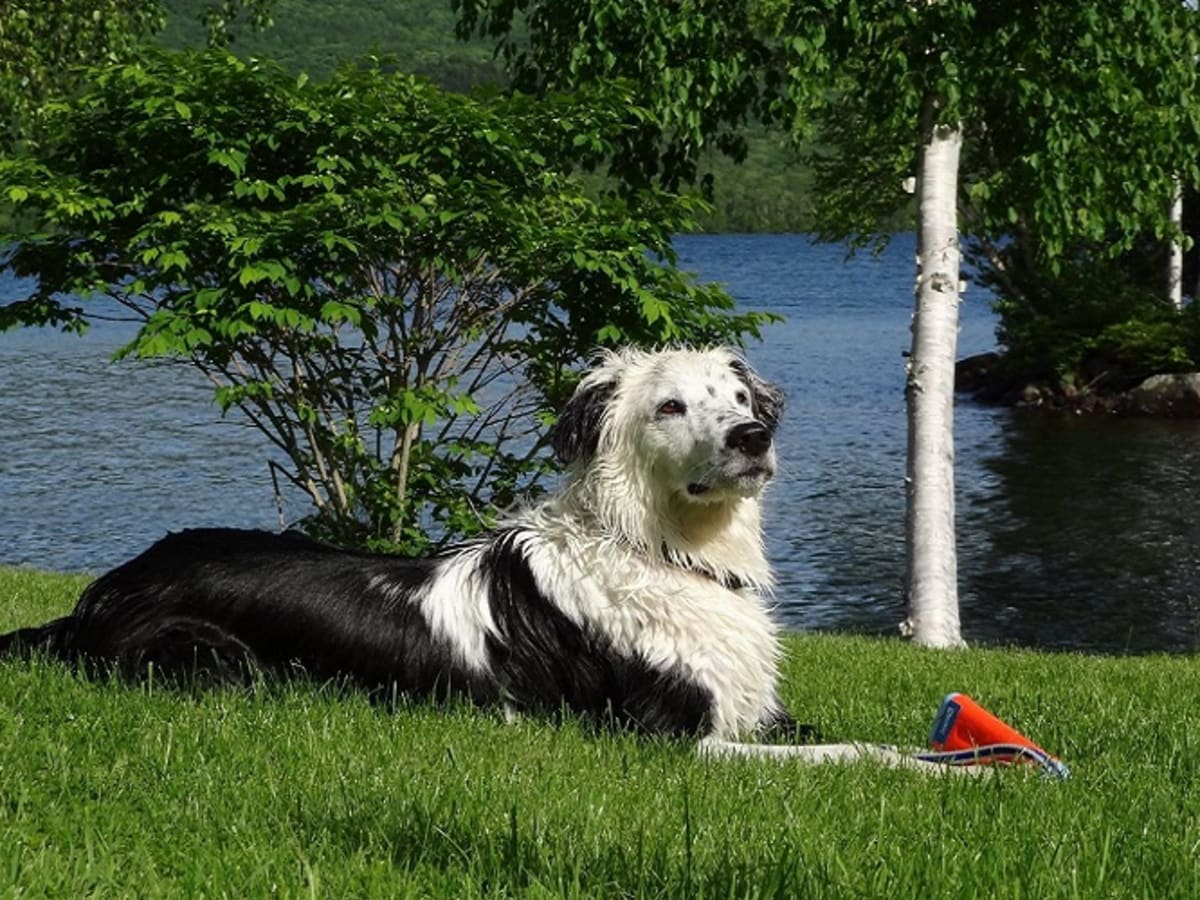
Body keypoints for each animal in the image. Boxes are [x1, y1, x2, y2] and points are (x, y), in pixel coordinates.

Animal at [0, 348, 936, 772]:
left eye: (738, 397)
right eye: (671, 406)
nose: (752, 436)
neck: (664, 550)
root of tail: (103, 588)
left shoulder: (751, 718)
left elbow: (857, 735)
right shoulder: (666, 738)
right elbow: (854, 754)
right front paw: (933, 775)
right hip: (216, 663)